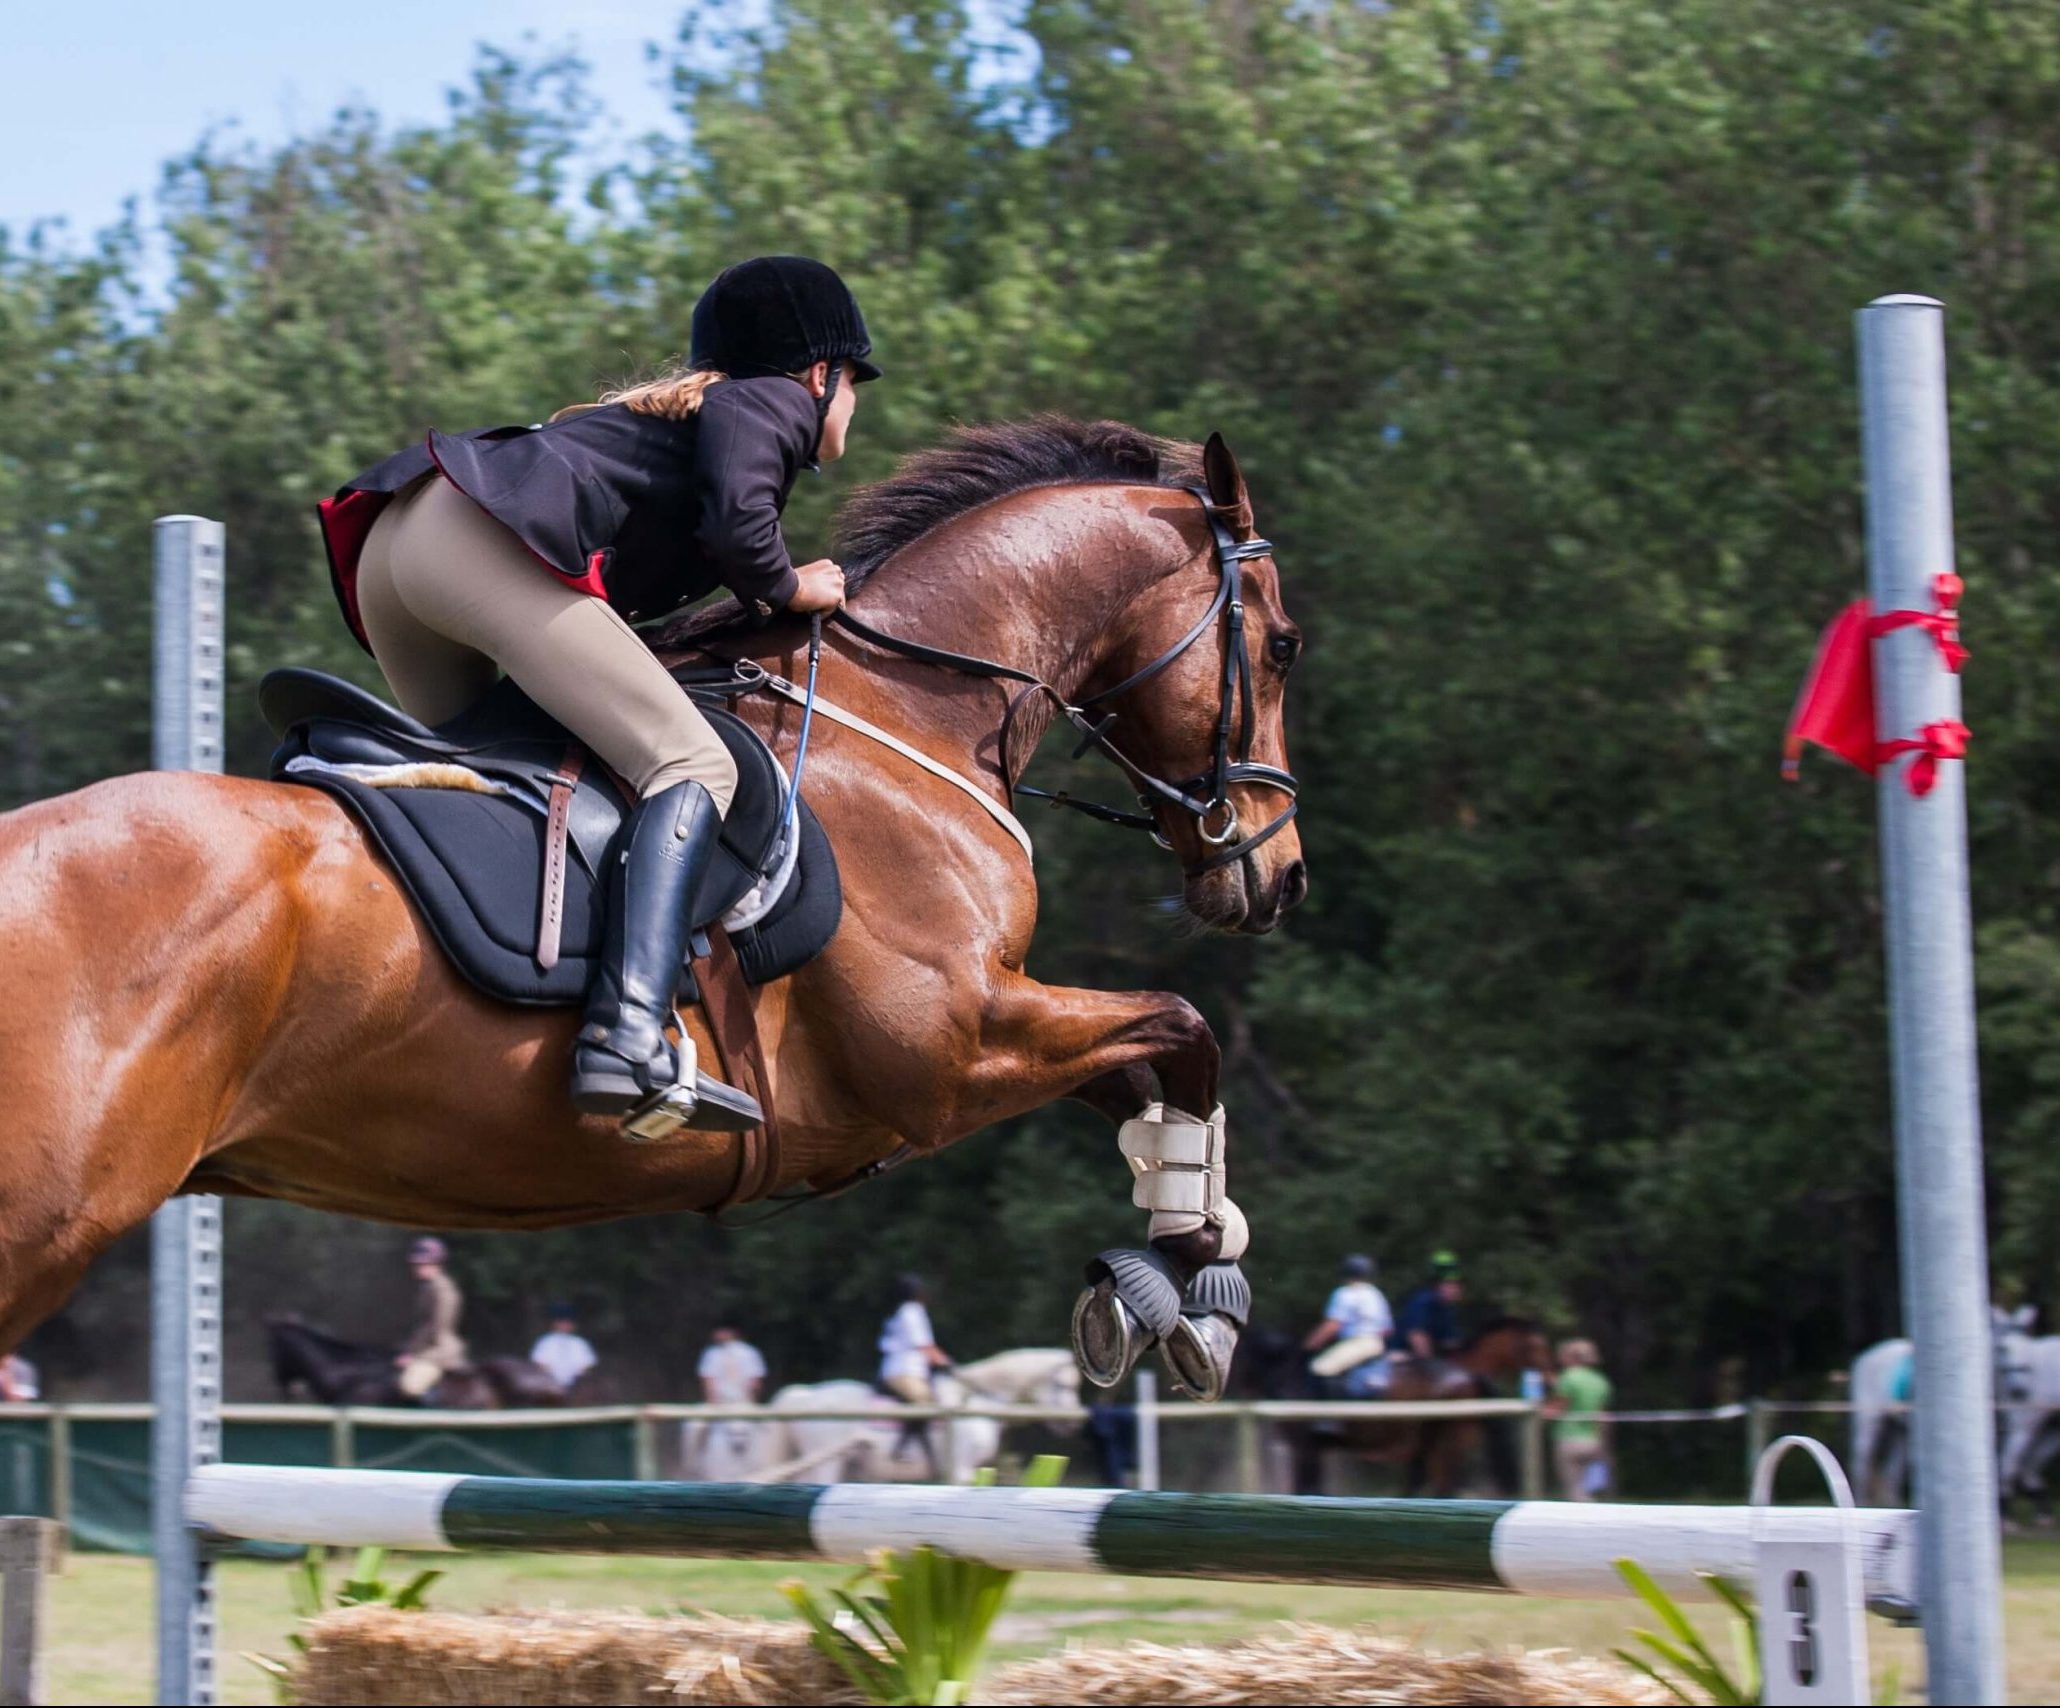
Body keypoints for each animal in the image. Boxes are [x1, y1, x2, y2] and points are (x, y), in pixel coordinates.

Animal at [688, 1343, 1087, 1483]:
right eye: (1065, 1385)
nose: (1073, 1426)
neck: (978, 1398)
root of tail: (804, 1395)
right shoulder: (960, 1468)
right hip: (828, 1462)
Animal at [1236, 1318, 1549, 1491]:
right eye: (1534, 1344)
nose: (1549, 1380)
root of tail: (1467, 1376)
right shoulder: (1310, 1451)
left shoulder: (1306, 1449)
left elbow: (1307, 1489)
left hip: (1447, 1446)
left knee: (1444, 1490)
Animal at [1845, 1302, 2035, 1499]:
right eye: (2003, 1348)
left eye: (2027, 1345)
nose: (2021, 1390)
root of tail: (1864, 1356)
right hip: (1869, 1421)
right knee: (1862, 1463)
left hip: (1898, 1430)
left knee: (1892, 1474)